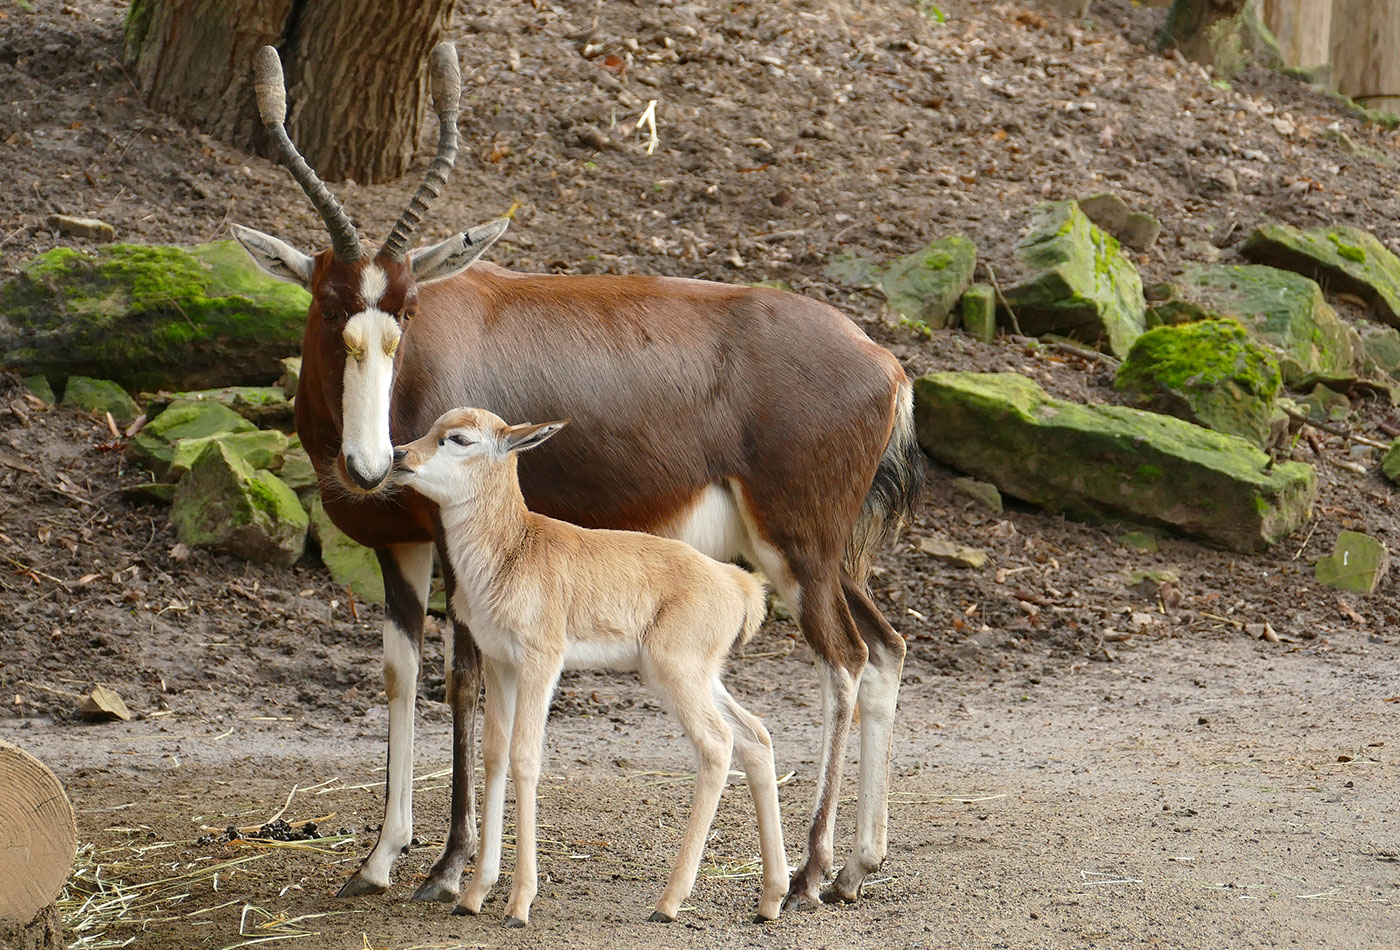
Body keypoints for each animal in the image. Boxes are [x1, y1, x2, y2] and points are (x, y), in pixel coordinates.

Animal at [389, 411, 795, 929]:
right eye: (430, 428)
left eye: (458, 439)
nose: (400, 455)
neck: (512, 549)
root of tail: (740, 585)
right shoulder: (500, 663)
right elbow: (495, 754)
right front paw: (474, 894)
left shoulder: (541, 661)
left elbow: (525, 757)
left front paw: (519, 904)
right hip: (699, 676)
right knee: (755, 736)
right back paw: (770, 899)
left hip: (676, 675)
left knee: (717, 744)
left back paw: (668, 903)